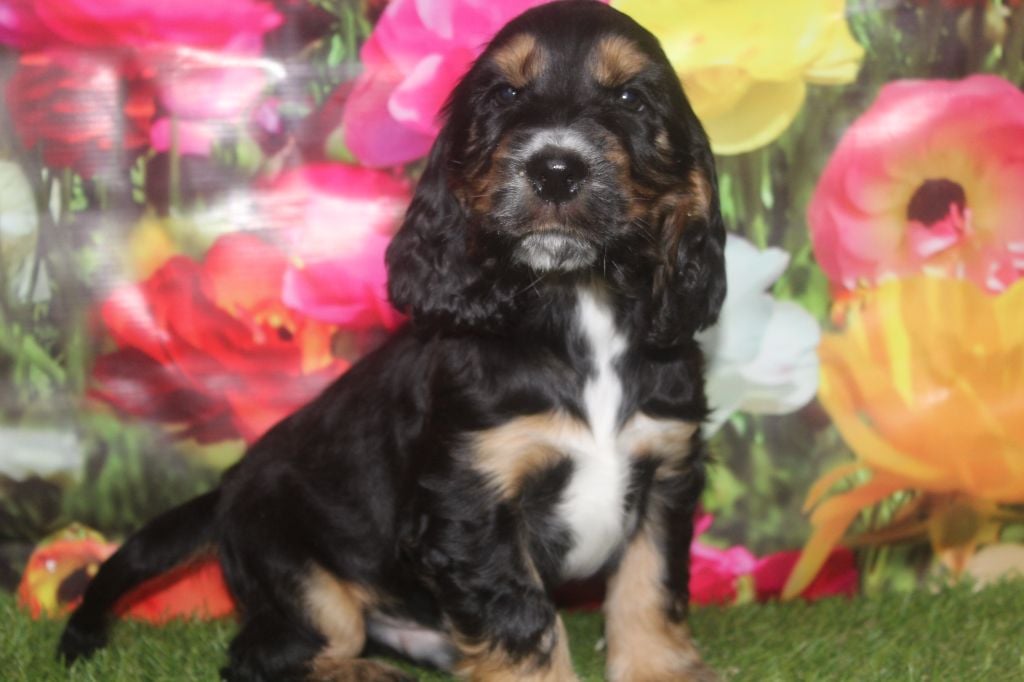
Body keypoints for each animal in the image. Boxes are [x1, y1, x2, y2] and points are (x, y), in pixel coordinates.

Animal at [57, 1, 726, 679]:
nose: (555, 170)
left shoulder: (666, 474)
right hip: (298, 572)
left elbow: (649, 590)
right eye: (505, 94)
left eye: (631, 98)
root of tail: (226, 492)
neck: (578, 301)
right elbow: (522, 622)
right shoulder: (472, 499)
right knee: (265, 654)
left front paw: (659, 669)